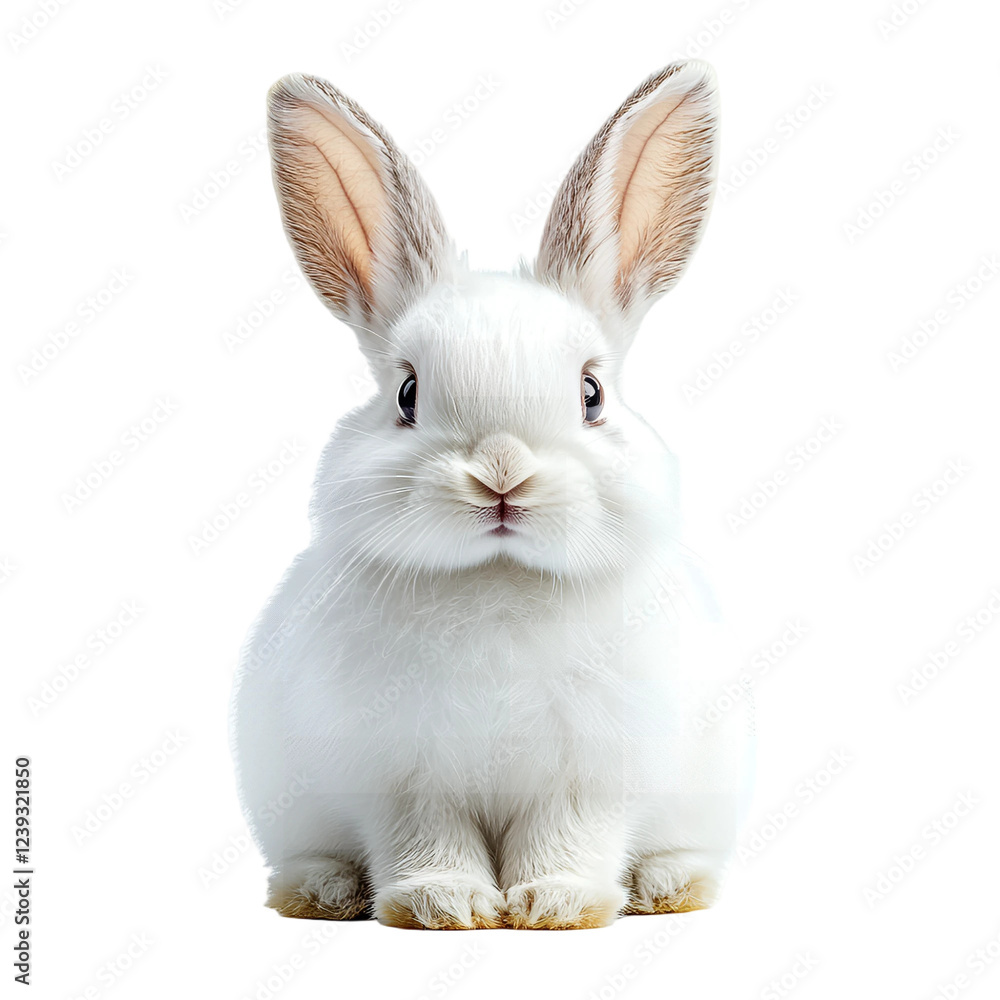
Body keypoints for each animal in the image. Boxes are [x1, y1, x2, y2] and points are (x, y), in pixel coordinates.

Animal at [230, 59, 753, 930]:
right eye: (407, 394)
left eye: (591, 394)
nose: (501, 474)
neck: (499, 582)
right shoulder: (402, 776)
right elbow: (425, 837)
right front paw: (445, 903)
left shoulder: (591, 774)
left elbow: (569, 835)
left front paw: (555, 904)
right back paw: (323, 890)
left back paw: (667, 886)